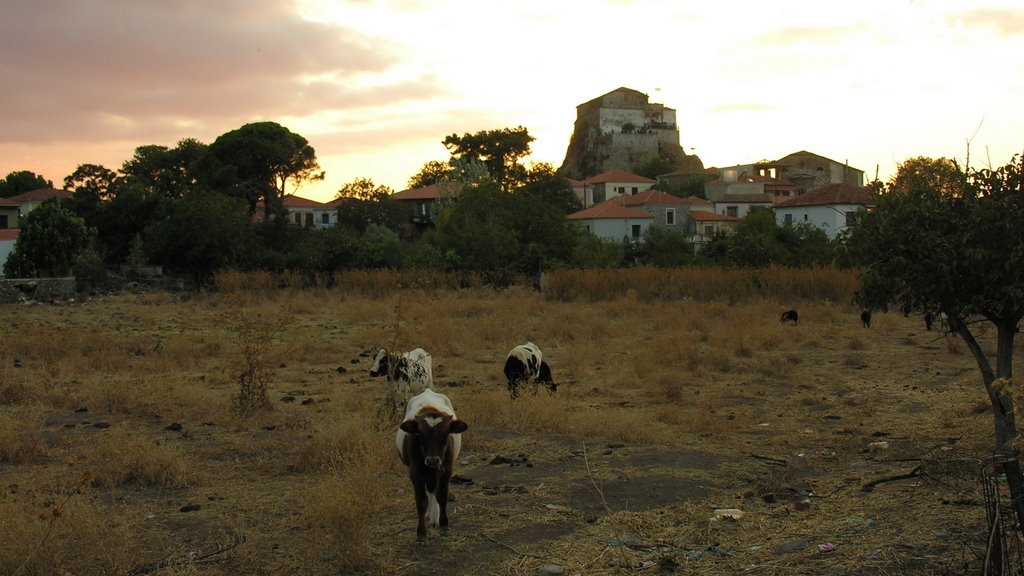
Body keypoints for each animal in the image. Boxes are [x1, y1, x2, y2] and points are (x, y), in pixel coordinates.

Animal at [395, 387, 468, 541]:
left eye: (445, 435)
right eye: (421, 435)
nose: (433, 460)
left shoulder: (446, 471)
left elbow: (442, 496)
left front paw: (444, 525)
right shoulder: (415, 473)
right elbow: (421, 502)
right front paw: (421, 533)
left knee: (434, 492)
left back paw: (434, 517)